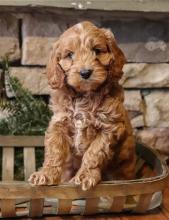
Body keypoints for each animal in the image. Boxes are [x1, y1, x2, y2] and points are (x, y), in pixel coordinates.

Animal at [28, 21, 136, 192]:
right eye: (69, 55)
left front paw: (85, 175)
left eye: (97, 51)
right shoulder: (59, 123)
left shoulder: (109, 127)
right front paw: (45, 173)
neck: (84, 96)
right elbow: (54, 151)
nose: (85, 72)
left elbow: (94, 153)